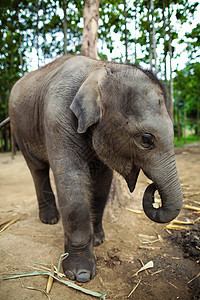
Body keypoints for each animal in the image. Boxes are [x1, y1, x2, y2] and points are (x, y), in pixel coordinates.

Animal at [9, 55, 181, 282]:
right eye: (146, 139)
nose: (153, 190)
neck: (101, 68)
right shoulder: (57, 119)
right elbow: (72, 182)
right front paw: (80, 275)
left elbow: (102, 183)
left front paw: (98, 241)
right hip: (19, 128)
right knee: (37, 168)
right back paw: (50, 220)